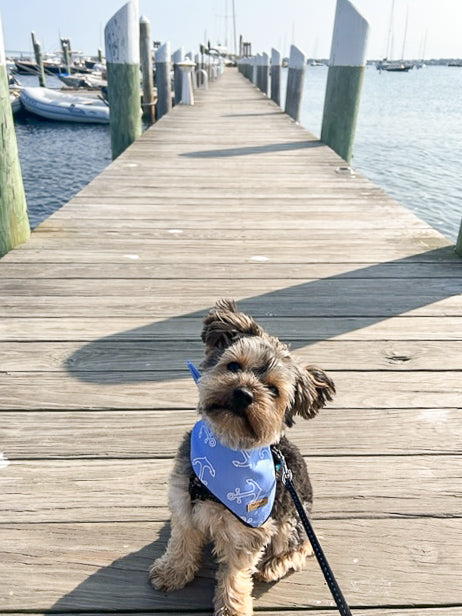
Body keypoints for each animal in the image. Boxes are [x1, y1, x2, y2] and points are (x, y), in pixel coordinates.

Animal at [150, 300, 334, 616]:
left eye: (273, 390)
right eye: (234, 365)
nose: (244, 393)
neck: (226, 444)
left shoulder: (248, 532)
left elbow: (234, 574)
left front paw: (232, 608)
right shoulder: (183, 503)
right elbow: (182, 542)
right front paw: (173, 572)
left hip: (291, 518)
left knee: (303, 546)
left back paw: (273, 565)